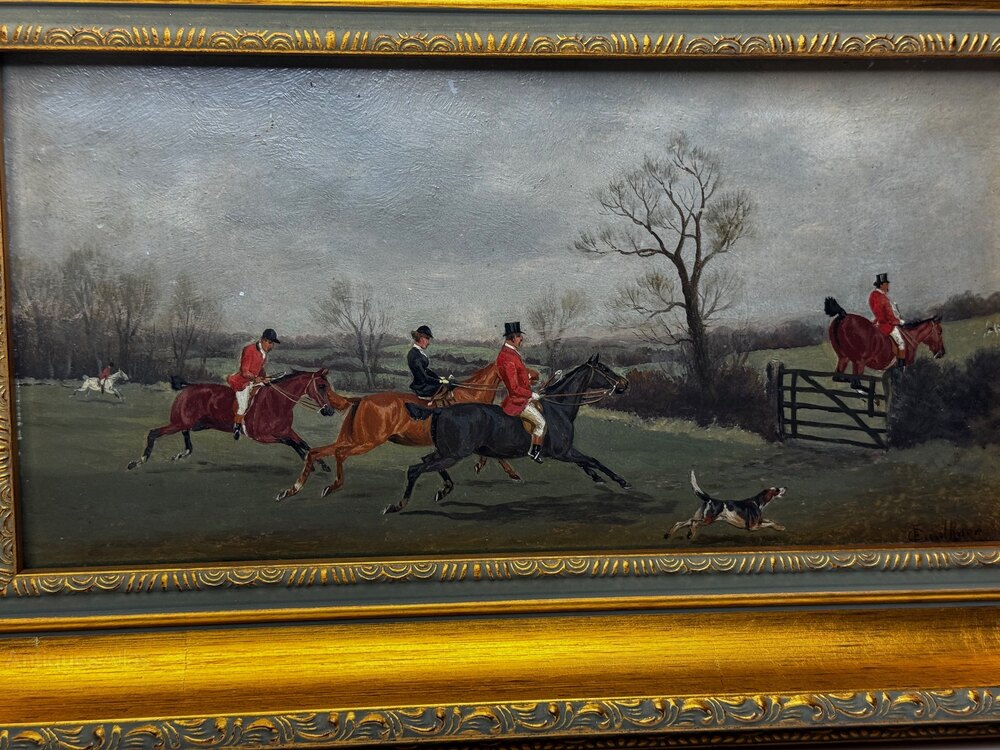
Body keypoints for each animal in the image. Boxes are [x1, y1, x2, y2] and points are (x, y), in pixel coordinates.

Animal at [126, 369, 351, 471]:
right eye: (321, 386)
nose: (329, 411)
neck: (277, 401)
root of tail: (188, 387)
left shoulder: (286, 430)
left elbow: (304, 443)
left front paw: (321, 465)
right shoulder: (263, 436)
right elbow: (293, 443)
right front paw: (311, 464)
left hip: (196, 424)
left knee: (185, 436)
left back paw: (182, 454)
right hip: (180, 422)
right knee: (153, 433)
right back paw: (138, 461)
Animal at [275, 362, 538, 501]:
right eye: (521, 368)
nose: (535, 377)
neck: (469, 395)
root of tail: (360, 400)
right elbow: (495, 456)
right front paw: (511, 473)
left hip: (353, 439)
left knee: (315, 452)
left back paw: (292, 489)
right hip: (367, 442)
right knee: (338, 454)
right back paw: (331, 486)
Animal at [387, 354, 630, 515]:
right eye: (605, 370)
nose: (624, 383)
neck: (558, 407)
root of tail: (440, 409)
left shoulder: (566, 452)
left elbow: (587, 462)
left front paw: (598, 478)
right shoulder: (563, 452)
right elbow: (594, 460)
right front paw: (622, 482)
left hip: (446, 452)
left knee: (425, 461)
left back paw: (443, 490)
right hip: (453, 454)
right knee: (415, 469)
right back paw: (397, 505)